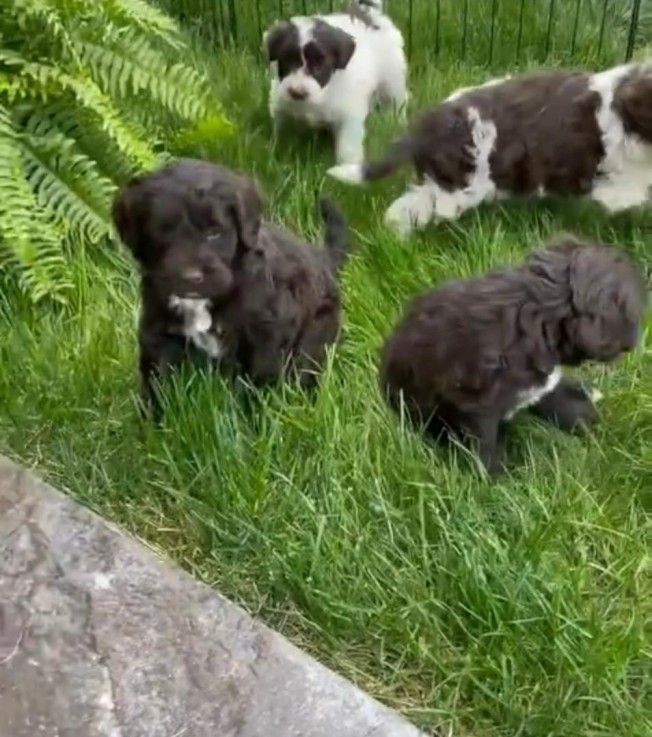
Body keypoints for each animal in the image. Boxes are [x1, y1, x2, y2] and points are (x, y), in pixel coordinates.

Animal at [111, 157, 352, 416]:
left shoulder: (265, 336)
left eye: (214, 233)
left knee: (306, 367)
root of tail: (324, 258)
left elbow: (258, 384)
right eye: (162, 232)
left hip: (315, 336)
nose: (191, 277)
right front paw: (152, 421)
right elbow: (157, 381)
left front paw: (255, 420)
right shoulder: (159, 331)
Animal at [262, 0, 404, 164]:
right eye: (288, 61)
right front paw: (278, 151)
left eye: (319, 66)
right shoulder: (281, 105)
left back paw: (397, 120)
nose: (297, 92)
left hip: (393, 79)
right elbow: (283, 131)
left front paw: (347, 166)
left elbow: (347, 146)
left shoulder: (349, 115)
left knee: (396, 102)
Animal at [328, 63, 652, 237]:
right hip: (460, 187)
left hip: (443, 181)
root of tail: (427, 125)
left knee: (408, 206)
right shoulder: (621, 185)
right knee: (415, 209)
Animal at [380, 236, 648, 478]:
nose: (635, 341)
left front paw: (591, 426)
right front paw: (499, 484)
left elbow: (562, 403)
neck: (538, 315)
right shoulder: (476, 406)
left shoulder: (543, 383)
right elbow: (486, 449)